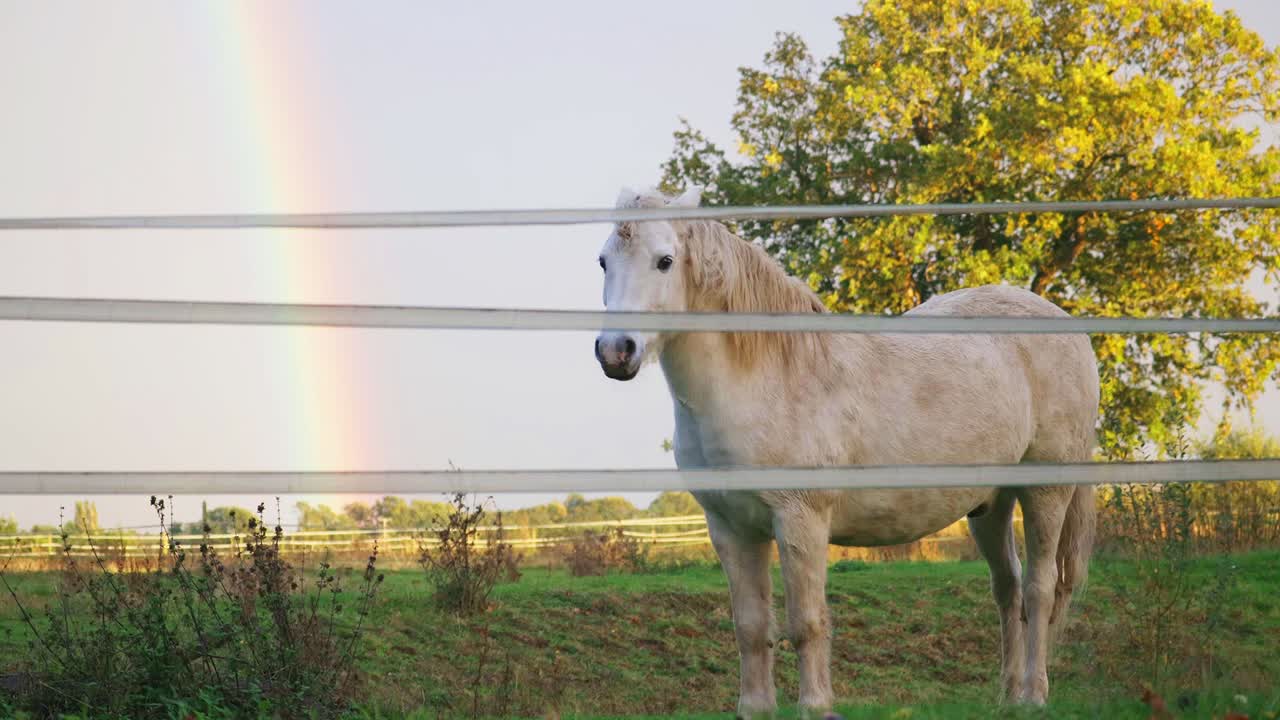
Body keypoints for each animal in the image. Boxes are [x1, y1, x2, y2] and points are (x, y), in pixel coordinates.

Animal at [593, 186, 1099, 718]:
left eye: (665, 260)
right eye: (604, 260)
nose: (616, 351)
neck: (770, 376)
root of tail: (1064, 324)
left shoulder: (801, 522)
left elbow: (807, 622)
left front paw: (817, 706)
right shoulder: (730, 528)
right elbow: (750, 626)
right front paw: (755, 707)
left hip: (1046, 493)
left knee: (1040, 590)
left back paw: (1035, 696)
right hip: (990, 505)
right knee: (1008, 590)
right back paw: (1008, 697)